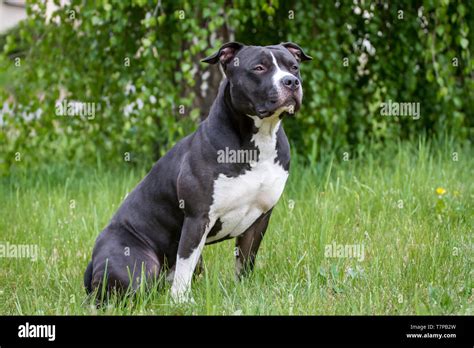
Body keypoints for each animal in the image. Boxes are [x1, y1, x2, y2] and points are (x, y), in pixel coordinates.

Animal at [84, 41, 312, 302]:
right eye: (259, 68)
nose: (291, 82)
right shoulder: (197, 218)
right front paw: (181, 302)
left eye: (293, 67)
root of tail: (92, 262)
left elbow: (245, 261)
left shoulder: (259, 219)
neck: (258, 140)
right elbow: (185, 263)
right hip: (136, 264)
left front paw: (243, 291)